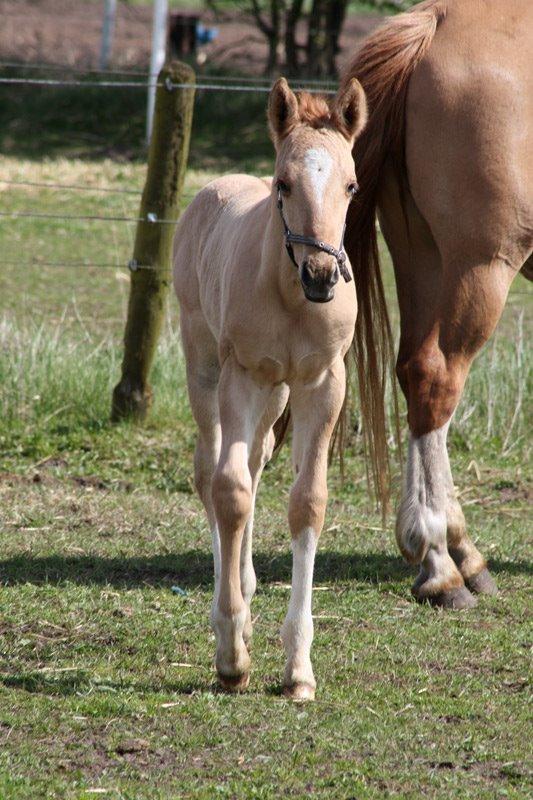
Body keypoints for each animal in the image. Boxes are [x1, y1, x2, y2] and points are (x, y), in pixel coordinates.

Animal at [174, 78, 366, 696]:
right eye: (284, 183)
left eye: (352, 185)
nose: (321, 277)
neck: (289, 296)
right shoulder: (241, 376)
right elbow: (229, 489)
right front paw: (231, 649)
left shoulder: (322, 384)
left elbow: (307, 501)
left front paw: (298, 667)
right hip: (205, 367)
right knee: (211, 471)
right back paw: (229, 593)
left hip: (276, 394)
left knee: (256, 461)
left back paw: (249, 580)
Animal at [342, 0, 528, 608]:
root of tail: (436, 22)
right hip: (482, 267)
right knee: (436, 376)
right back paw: (440, 565)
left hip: (419, 254)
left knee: (413, 376)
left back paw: (459, 553)